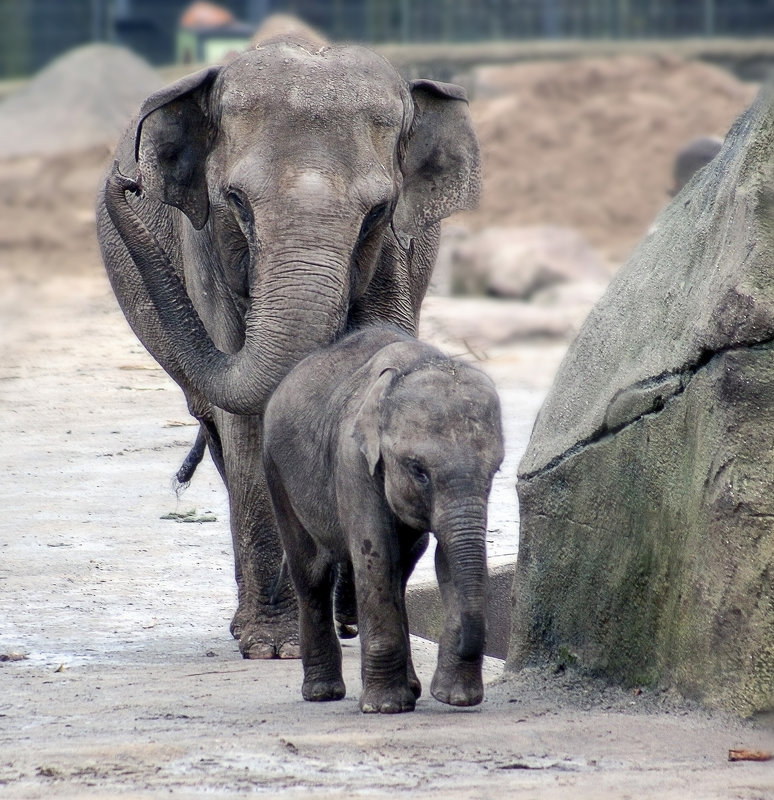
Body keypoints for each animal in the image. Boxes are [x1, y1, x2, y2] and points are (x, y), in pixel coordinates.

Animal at [94, 37, 482, 660]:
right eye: (236, 202)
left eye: (377, 212)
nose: (127, 186)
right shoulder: (204, 245)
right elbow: (249, 422)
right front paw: (276, 648)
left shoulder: (396, 253)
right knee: (220, 432)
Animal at [266, 324, 510, 712]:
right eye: (418, 471)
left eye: (495, 470)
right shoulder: (352, 461)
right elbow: (375, 554)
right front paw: (384, 707)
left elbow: (444, 559)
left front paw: (455, 698)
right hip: (276, 471)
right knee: (312, 574)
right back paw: (323, 693)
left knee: (402, 569)